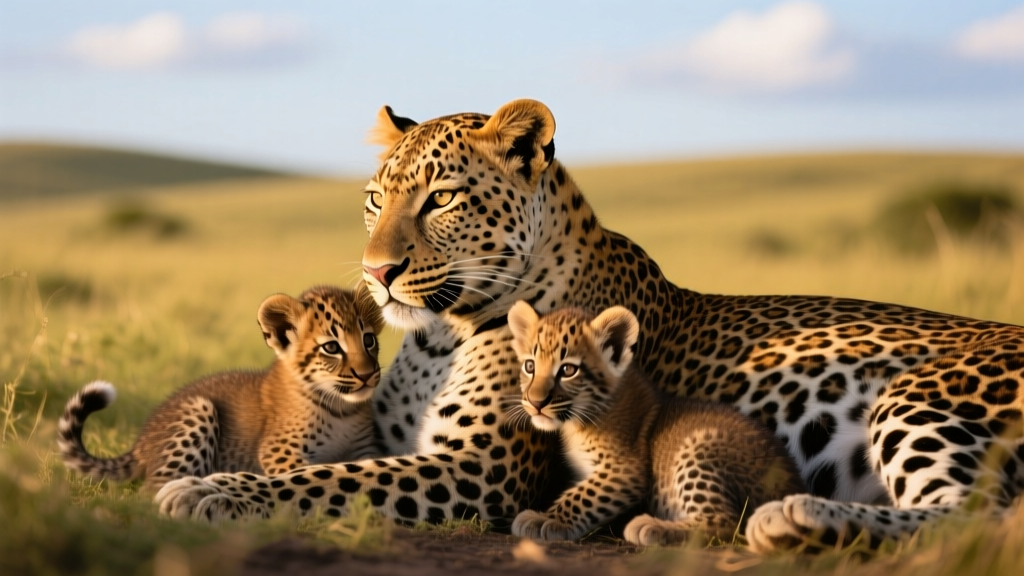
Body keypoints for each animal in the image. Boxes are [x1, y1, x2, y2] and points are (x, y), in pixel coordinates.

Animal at [59, 284, 384, 490]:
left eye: (369, 340)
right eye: (332, 348)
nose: (367, 375)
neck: (341, 409)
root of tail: (141, 443)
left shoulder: (364, 448)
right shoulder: (279, 450)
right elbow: (308, 473)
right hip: (198, 410)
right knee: (152, 491)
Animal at [506, 301, 805, 544]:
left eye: (568, 370)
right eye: (530, 366)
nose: (535, 402)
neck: (580, 421)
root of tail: (792, 485)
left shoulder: (626, 470)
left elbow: (583, 496)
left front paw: (545, 519)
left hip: (700, 447)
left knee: (728, 523)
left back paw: (651, 526)